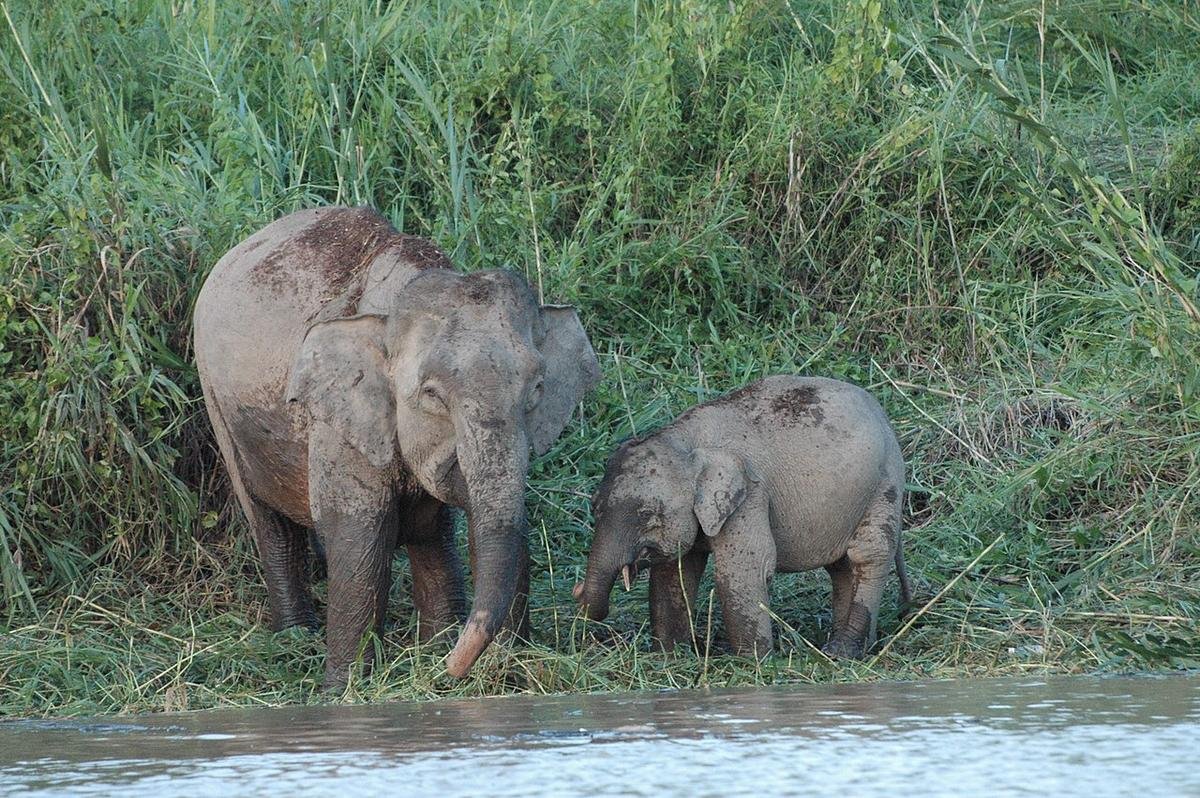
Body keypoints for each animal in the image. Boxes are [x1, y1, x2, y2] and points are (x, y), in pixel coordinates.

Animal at [195, 206, 600, 686]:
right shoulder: (338, 422)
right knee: (269, 524)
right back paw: (295, 638)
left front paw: (491, 662)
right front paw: (344, 688)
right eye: (432, 395)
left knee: (430, 532)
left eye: (536, 389)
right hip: (218, 406)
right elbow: (360, 534)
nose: (453, 671)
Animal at [571, 376, 907, 657]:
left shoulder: (751, 496)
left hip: (884, 484)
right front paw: (670, 656)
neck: (685, 440)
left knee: (868, 555)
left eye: (646, 514)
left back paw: (841, 652)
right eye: (594, 506)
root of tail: (884, 417)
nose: (576, 591)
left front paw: (753, 662)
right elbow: (674, 572)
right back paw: (850, 646)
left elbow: (744, 569)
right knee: (842, 567)